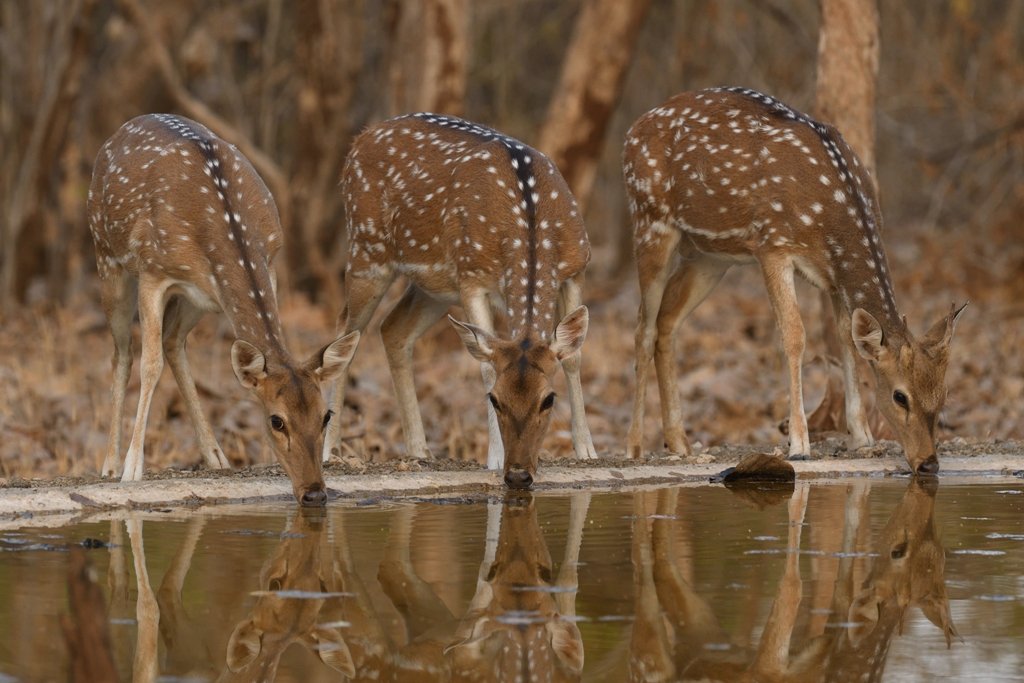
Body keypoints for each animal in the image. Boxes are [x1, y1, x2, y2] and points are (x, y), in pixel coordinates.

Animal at [90, 113, 360, 507]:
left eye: (326, 415)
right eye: (276, 420)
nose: (315, 494)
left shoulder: (268, 265)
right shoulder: (152, 272)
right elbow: (149, 365)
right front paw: (131, 469)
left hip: (200, 299)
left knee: (173, 342)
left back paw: (216, 456)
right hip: (107, 258)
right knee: (122, 352)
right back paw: (109, 464)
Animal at [323, 113, 598, 485]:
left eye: (548, 400)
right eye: (495, 400)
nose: (518, 475)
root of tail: (360, 138)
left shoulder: (575, 269)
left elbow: (573, 358)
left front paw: (587, 450)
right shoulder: (472, 276)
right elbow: (485, 366)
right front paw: (495, 458)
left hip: (432, 286)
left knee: (393, 329)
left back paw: (420, 449)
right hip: (367, 251)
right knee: (345, 331)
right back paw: (330, 450)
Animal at [622, 88, 966, 473]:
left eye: (944, 393)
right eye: (899, 396)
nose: (929, 463)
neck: (830, 215)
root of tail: (632, 130)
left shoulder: (834, 277)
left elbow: (845, 339)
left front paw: (861, 437)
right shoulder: (772, 246)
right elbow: (794, 335)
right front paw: (799, 444)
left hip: (710, 256)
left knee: (667, 322)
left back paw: (680, 442)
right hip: (650, 220)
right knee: (643, 327)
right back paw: (634, 445)